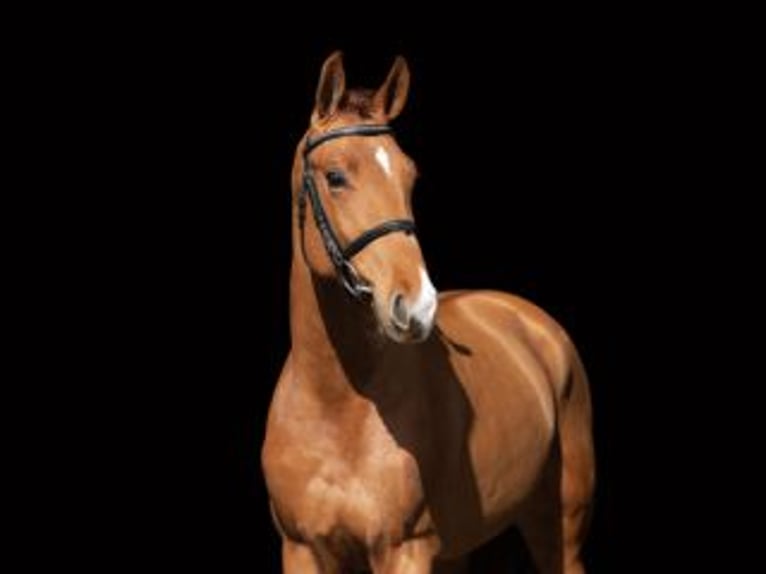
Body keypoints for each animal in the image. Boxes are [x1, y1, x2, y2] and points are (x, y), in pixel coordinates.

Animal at [262, 52, 595, 574]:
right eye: (335, 177)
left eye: (409, 176)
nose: (417, 304)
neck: (335, 405)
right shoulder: (301, 549)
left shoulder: (405, 550)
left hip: (559, 531)